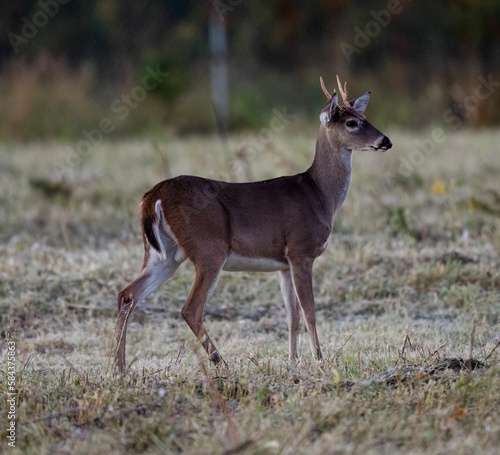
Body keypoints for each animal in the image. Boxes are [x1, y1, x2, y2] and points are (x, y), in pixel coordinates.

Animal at [115, 75, 392, 374]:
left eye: (364, 116)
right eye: (351, 123)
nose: (386, 141)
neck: (320, 194)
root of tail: (153, 196)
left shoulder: (284, 264)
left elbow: (292, 315)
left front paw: (293, 362)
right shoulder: (301, 250)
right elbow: (310, 311)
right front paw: (320, 361)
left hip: (163, 254)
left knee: (128, 294)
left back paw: (119, 367)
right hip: (208, 248)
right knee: (190, 308)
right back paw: (222, 364)